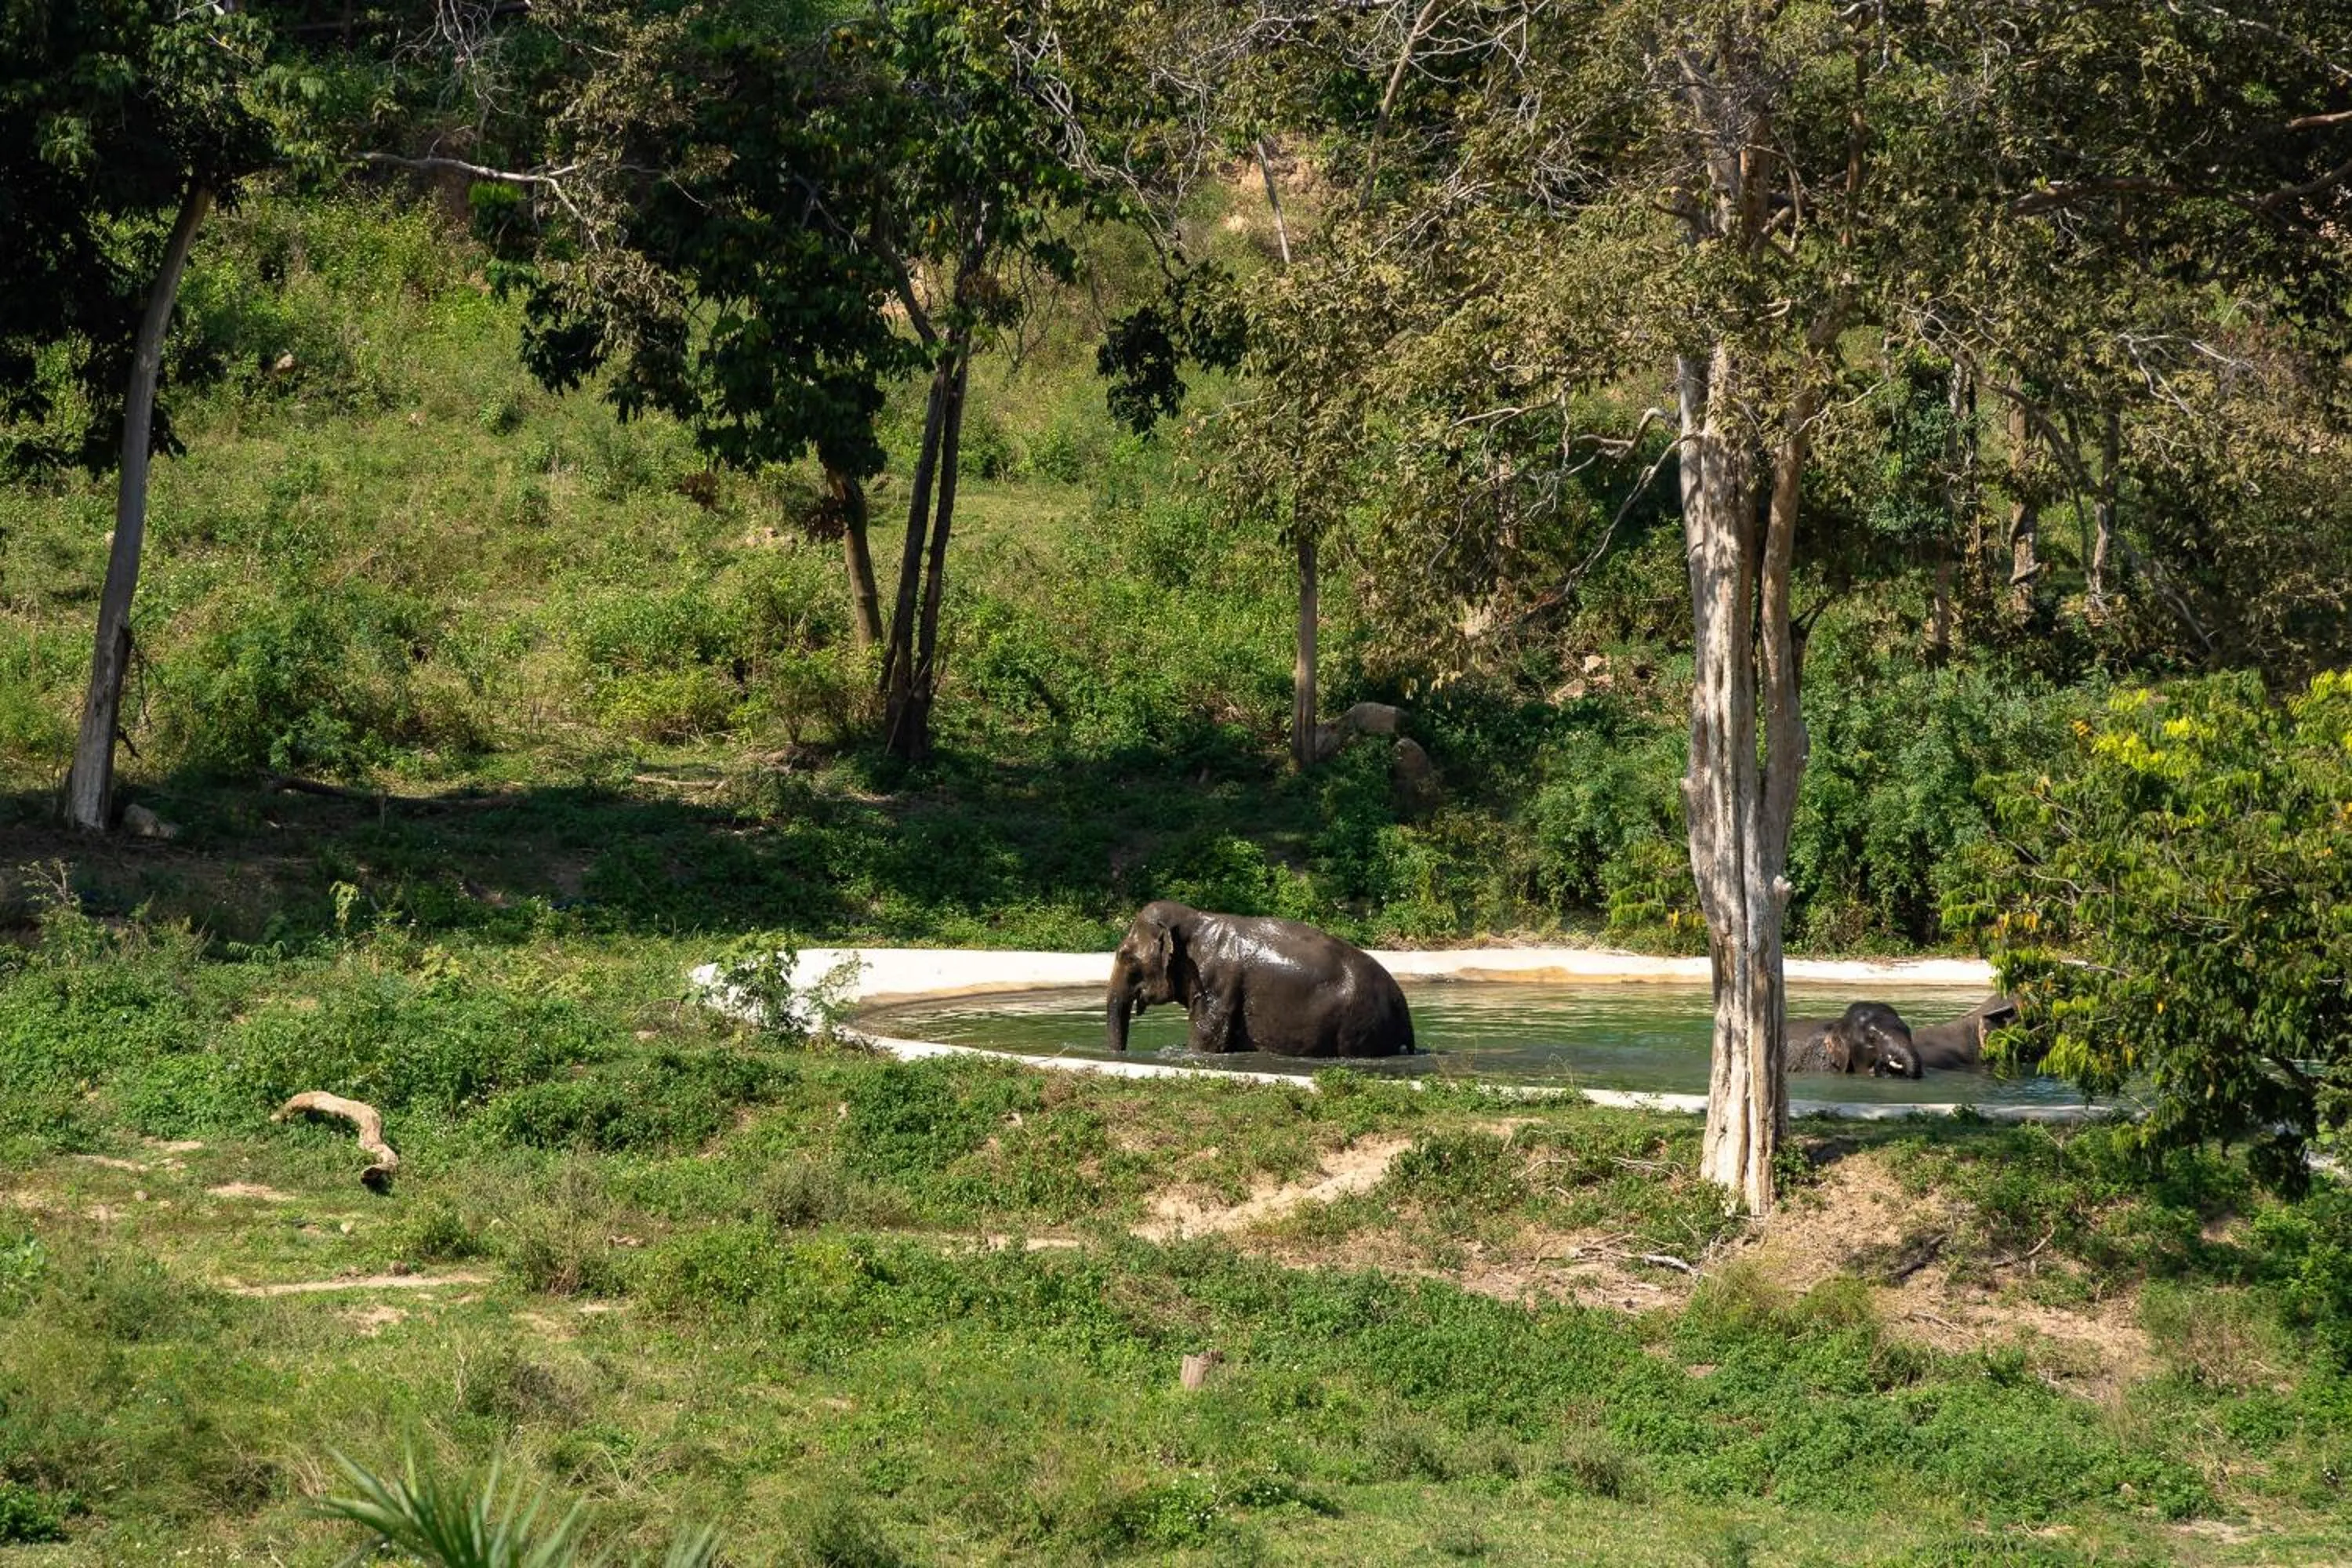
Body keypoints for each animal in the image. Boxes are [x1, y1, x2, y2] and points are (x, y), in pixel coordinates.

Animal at [1104, 900, 1416, 1058]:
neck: (1197, 919)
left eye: (1126, 956)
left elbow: (1205, 1041)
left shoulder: (1217, 986)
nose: (1120, 1056)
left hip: (1358, 1024)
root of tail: (1401, 1002)